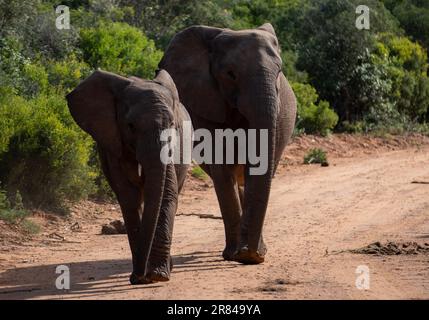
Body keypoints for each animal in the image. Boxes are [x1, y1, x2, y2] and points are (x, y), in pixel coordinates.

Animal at [66, 69, 191, 284]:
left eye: (173, 125)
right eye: (131, 126)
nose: (139, 276)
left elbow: (167, 194)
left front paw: (157, 275)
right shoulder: (113, 143)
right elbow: (129, 198)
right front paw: (142, 278)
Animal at [159, 23, 296, 264]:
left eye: (279, 72)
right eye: (230, 74)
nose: (251, 254)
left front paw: (251, 255)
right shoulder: (206, 106)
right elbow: (222, 170)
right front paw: (238, 255)